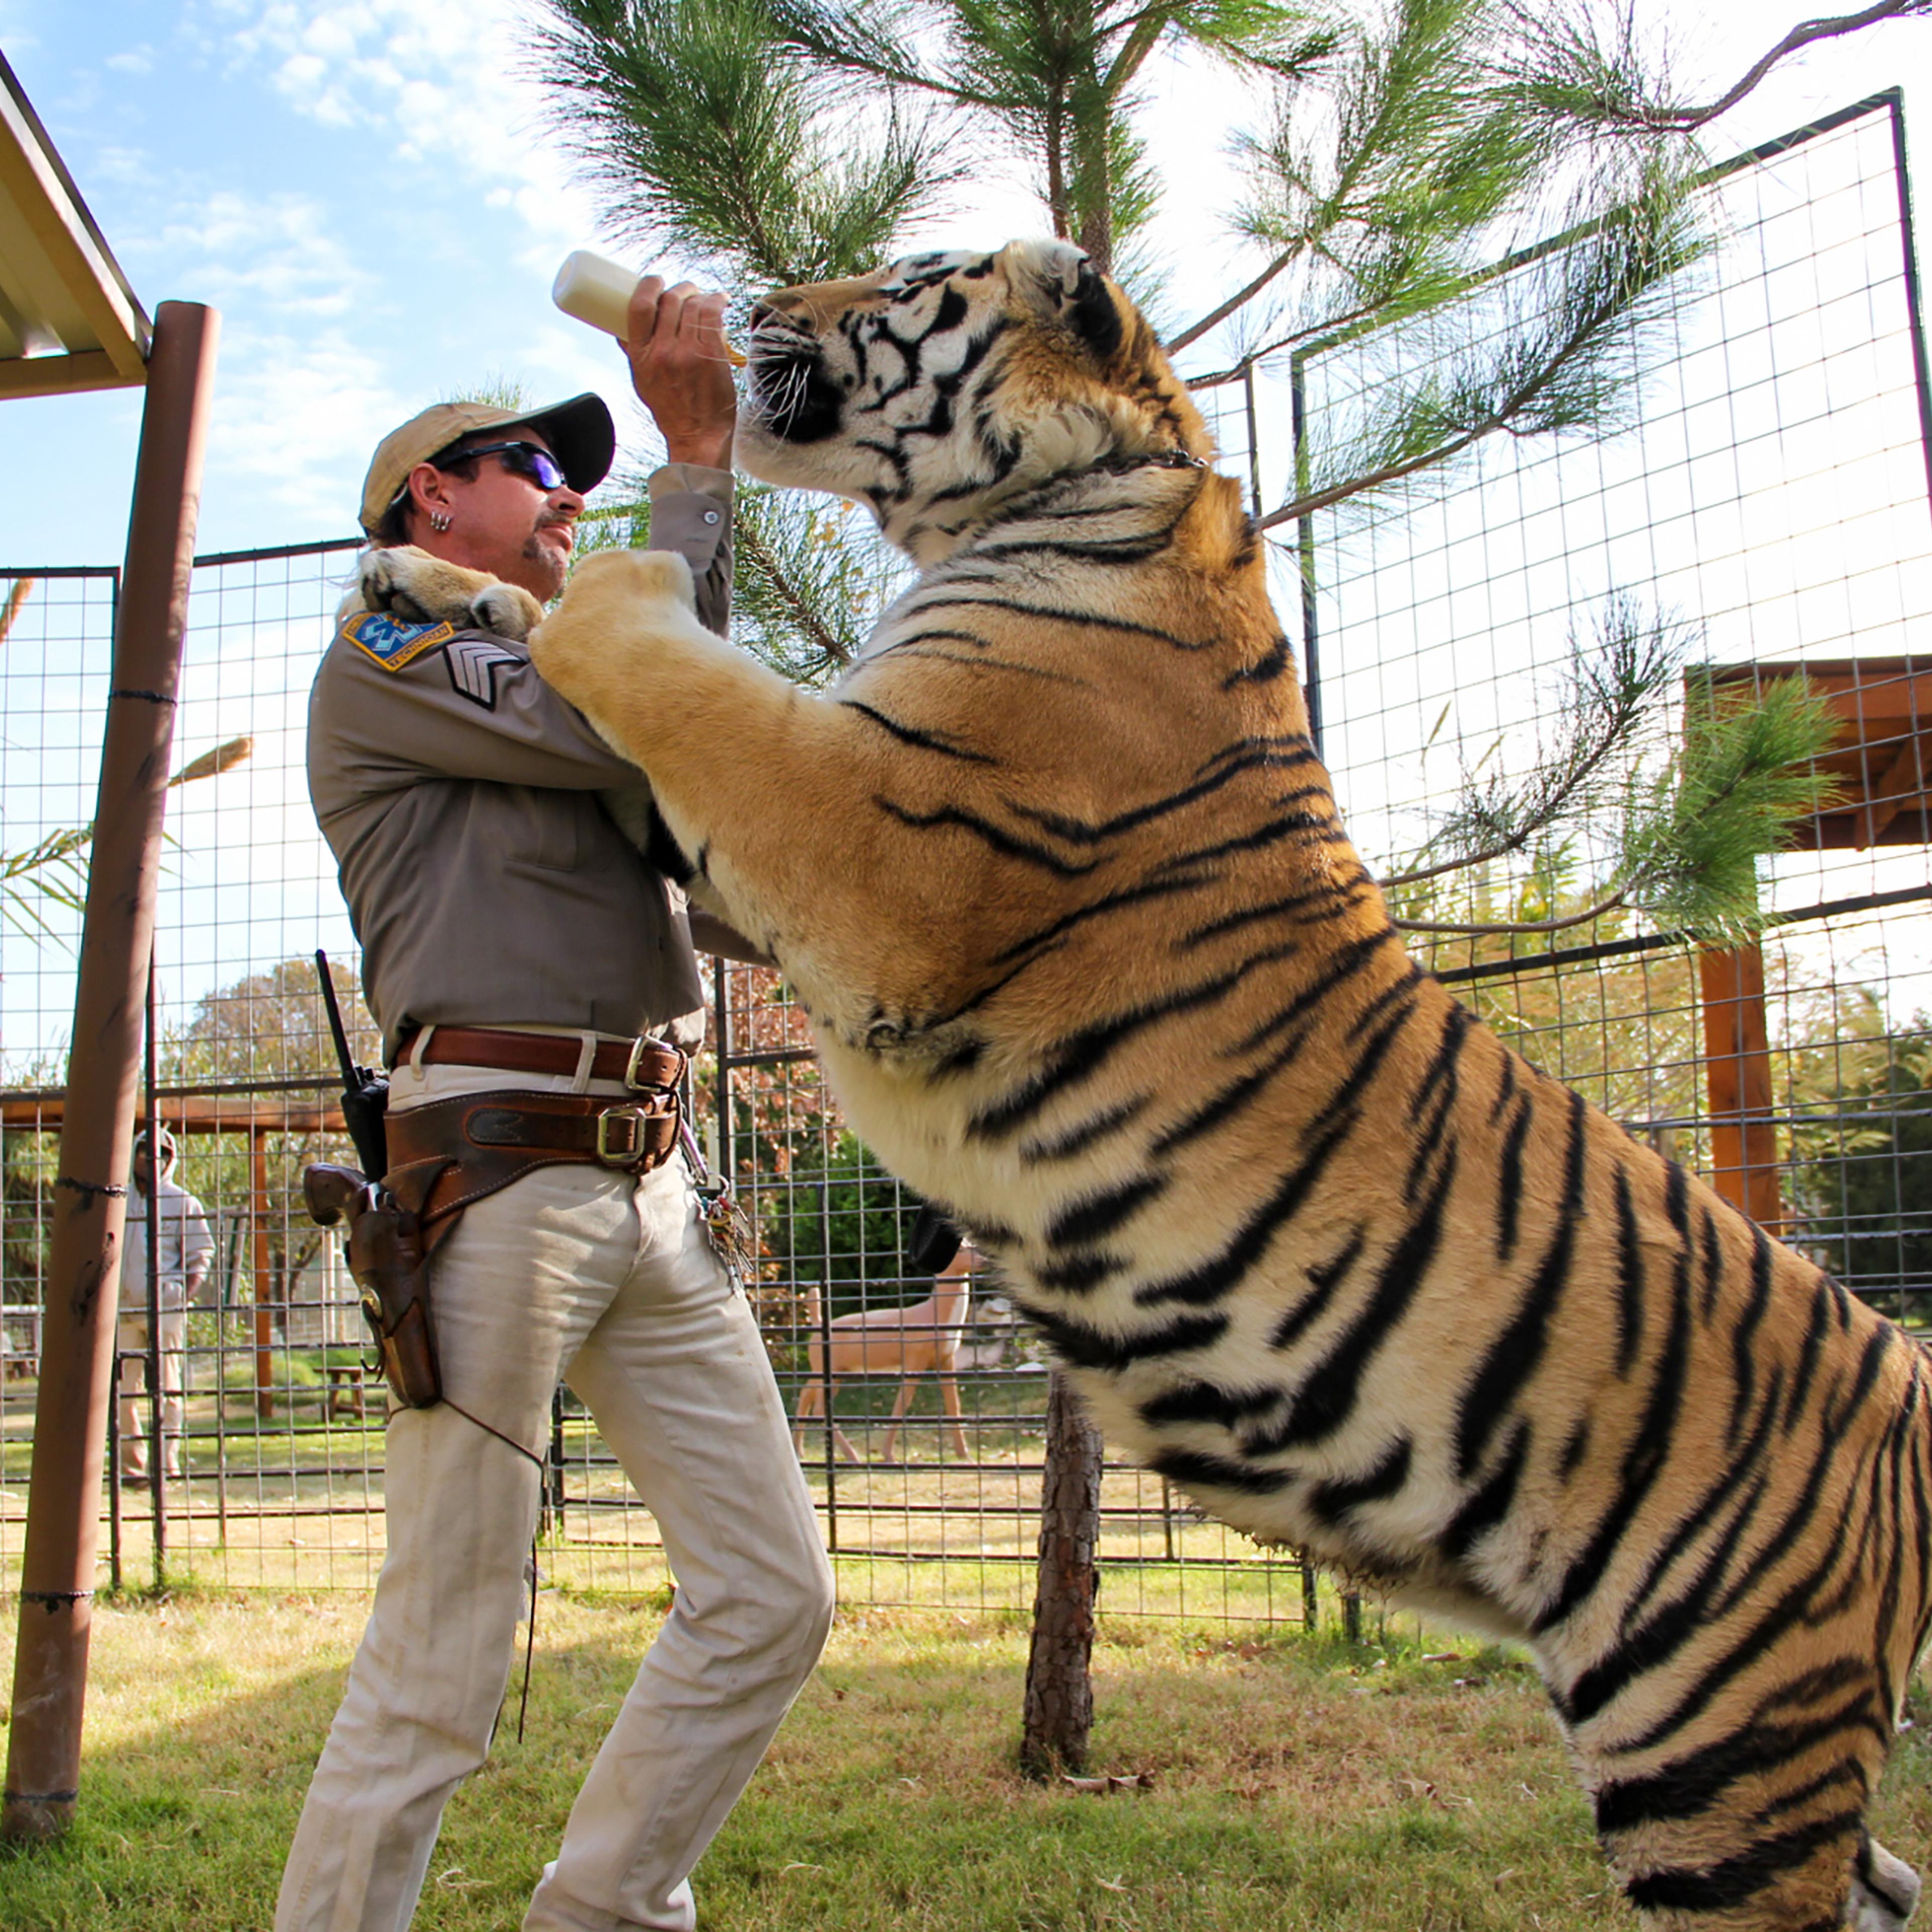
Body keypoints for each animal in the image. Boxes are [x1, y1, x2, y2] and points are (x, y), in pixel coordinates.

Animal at [361, 238, 1932, 1931]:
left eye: (903, 277)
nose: (757, 301)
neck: (1051, 498)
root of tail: (1911, 1391)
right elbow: (570, 648)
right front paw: (427, 583)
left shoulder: (868, 841)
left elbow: (664, 659)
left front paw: (594, 576)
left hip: (1714, 1739)